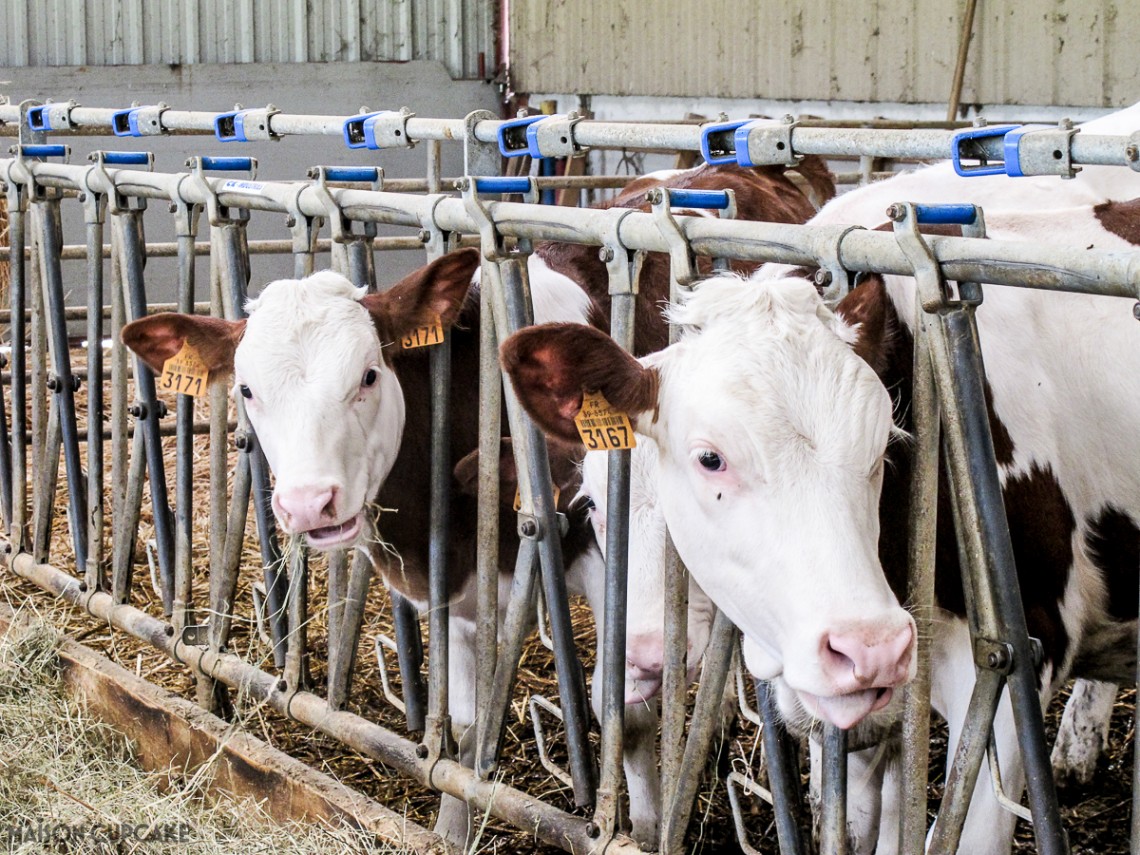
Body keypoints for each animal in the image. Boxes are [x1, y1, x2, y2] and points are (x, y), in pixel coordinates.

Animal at [121, 159, 833, 848]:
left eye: (367, 376)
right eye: (246, 389)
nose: (308, 504)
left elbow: (627, 717)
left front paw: (650, 830)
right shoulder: (458, 590)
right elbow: (464, 732)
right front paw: (450, 828)